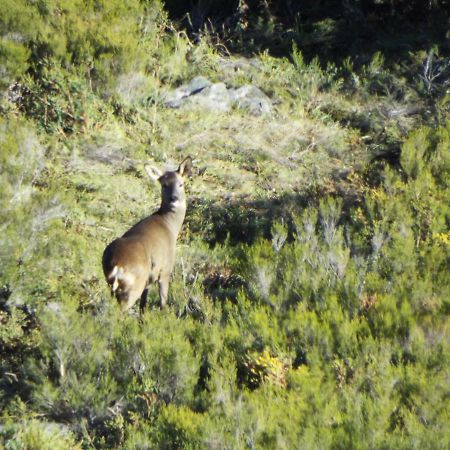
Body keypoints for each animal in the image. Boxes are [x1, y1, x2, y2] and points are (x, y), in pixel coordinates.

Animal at [101, 158, 192, 312]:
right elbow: (163, 301)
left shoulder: (149, 280)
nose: (174, 199)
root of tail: (117, 264)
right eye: (164, 185)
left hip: (112, 283)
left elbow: (143, 304)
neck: (169, 225)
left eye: (181, 183)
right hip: (134, 285)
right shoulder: (165, 269)